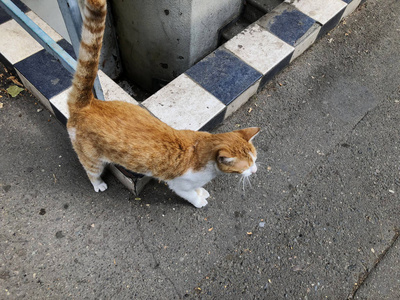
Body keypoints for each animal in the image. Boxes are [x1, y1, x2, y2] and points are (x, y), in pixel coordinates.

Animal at [66, 0, 260, 207]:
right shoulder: (179, 185)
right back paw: (98, 184)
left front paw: (202, 192)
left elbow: (197, 189)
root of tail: (89, 103)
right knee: (91, 171)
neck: (202, 151)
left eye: (254, 159)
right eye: (247, 165)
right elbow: (190, 194)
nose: (255, 170)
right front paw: (199, 201)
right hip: (91, 158)